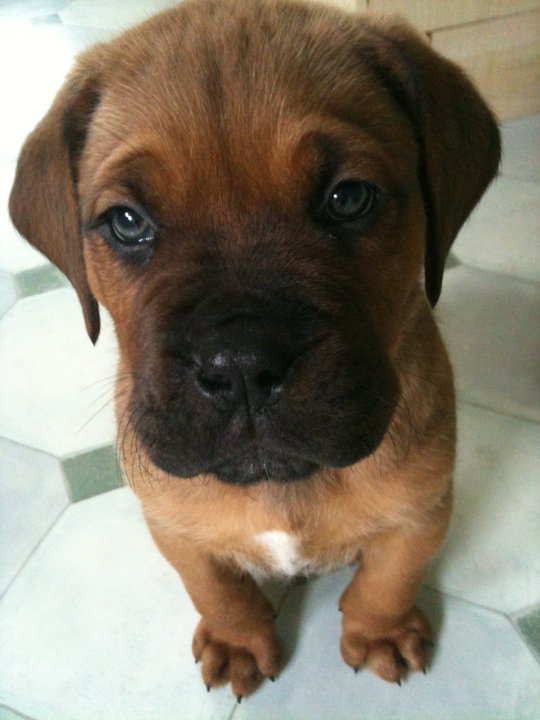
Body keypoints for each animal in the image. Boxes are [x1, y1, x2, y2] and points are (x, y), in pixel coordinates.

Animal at [9, 0, 498, 700]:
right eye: (127, 223)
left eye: (348, 198)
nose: (240, 366)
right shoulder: (175, 528)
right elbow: (217, 589)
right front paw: (239, 640)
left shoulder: (422, 510)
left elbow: (388, 577)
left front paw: (378, 631)